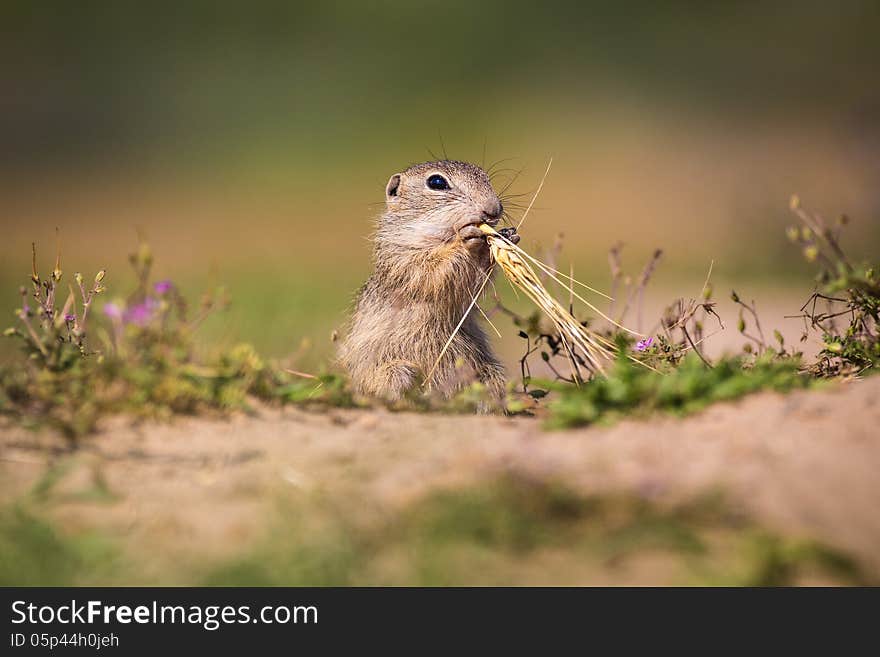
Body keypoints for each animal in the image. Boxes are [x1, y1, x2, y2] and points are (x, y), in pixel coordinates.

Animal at [336, 160, 516, 404]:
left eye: (485, 177)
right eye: (437, 182)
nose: (494, 209)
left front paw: (508, 236)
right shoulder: (403, 259)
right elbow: (432, 272)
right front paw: (467, 237)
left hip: (489, 374)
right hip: (394, 372)